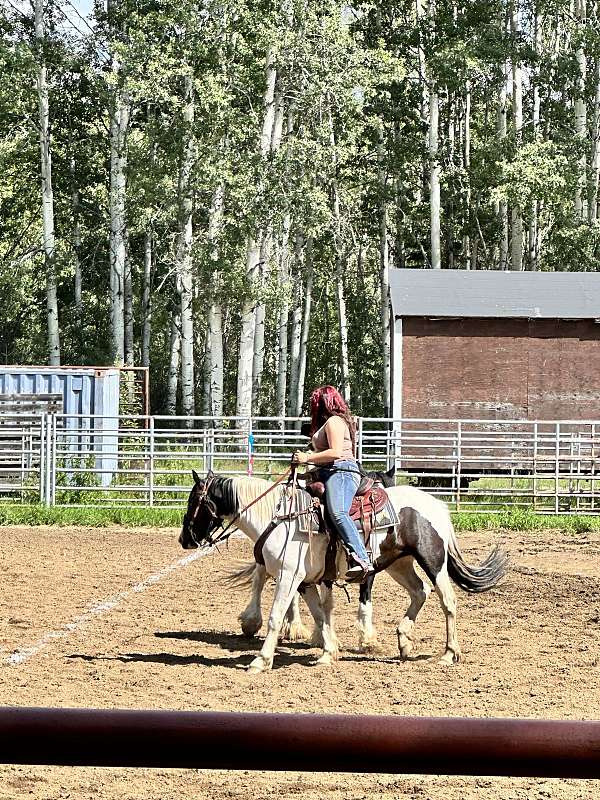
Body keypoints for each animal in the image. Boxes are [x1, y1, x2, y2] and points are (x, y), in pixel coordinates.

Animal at [180, 472, 508, 672]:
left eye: (194, 501)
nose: (185, 539)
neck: (280, 517)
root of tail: (437, 505)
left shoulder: (288, 577)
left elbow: (276, 617)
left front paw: (261, 661)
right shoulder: (305, 581)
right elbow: (319, 614)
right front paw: (328, 652)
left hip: (432, 560)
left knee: (447, 601)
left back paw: (449, 653)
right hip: (399, 563)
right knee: (420, 592)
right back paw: (403, 639)